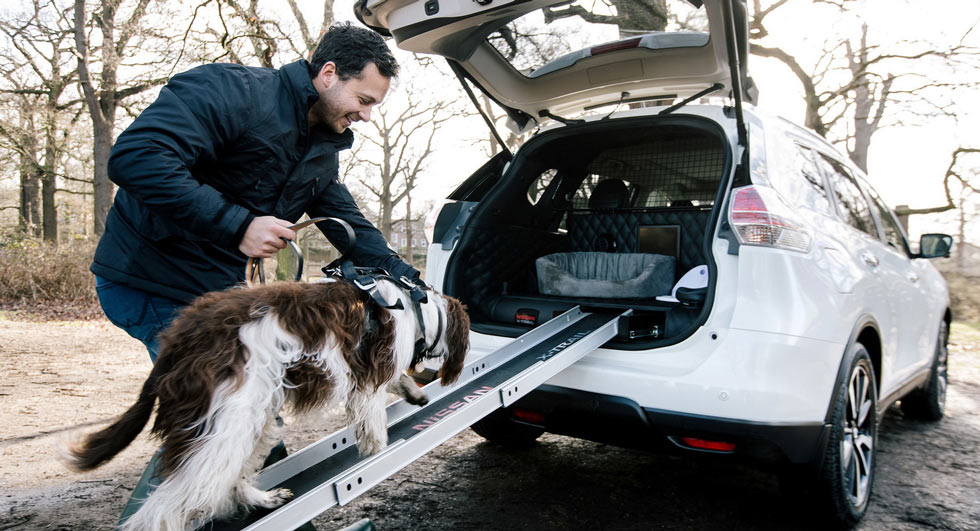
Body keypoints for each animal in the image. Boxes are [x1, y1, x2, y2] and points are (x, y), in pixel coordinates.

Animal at [63, 278, 468, 531]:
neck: (415, 307)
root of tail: (178, 340)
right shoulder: (368, 379)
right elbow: (374, 427)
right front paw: (379, 453)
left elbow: (396, 383)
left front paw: (415, 393)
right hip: (226, 420)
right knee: (166, 506)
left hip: (250, 416)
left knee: (227, 480)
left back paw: (263, 498)